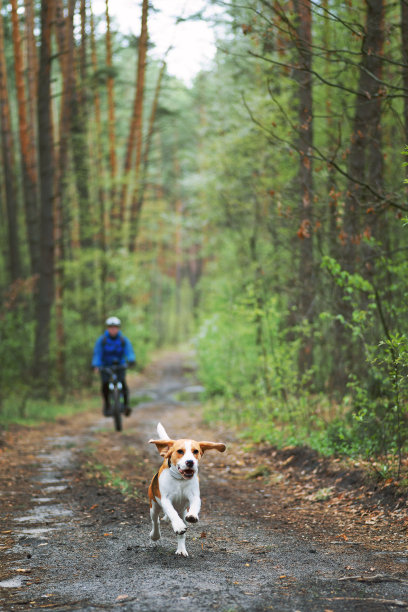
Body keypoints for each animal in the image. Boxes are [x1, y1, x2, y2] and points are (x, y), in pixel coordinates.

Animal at [147, 424, 226, 556]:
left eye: (196, 451)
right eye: (180, 451)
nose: (190, 462)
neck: (180, 480)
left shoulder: (194, 496)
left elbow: (194, 506)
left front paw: (192, 516)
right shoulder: (165, 500)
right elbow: (171, 513)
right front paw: (178, 526)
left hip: (182, 511)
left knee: (181, 531)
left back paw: (181, 549)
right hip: (154, 506)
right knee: (155, 521)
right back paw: (155, 535)